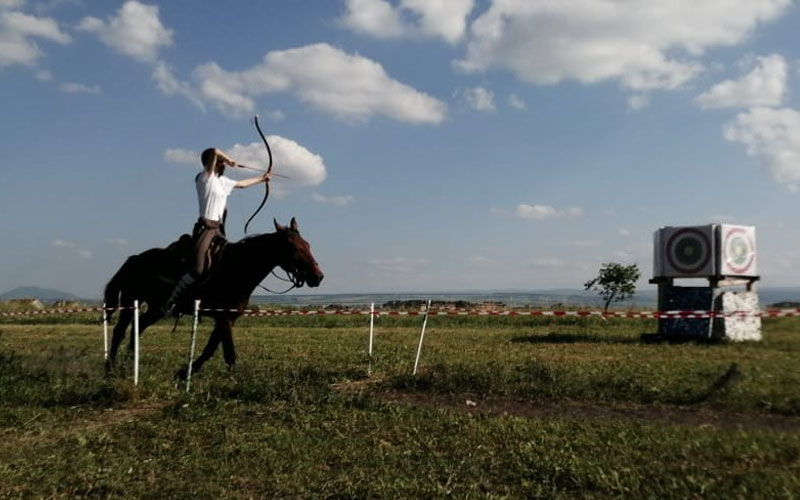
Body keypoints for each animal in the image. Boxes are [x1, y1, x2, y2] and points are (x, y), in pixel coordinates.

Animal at [103, 219, 322, 378]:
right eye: (294, 247)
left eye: (307, 245)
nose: (318, 276)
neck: (235, 268)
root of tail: (134, 259)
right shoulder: (223, 318)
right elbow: (229, 352)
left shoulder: (227, 318)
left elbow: (211, 348)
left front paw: (185, 372)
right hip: (131, 301)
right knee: (119, 331)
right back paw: (111, 369)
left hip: (155, 308)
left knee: (138, 326)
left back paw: (130, 359)